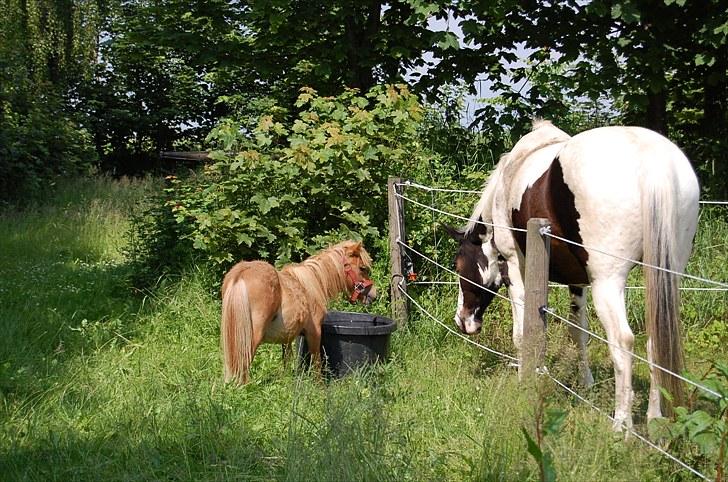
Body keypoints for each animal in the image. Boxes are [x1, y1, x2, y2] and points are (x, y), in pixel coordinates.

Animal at [219, 240, 376, 384]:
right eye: (362, 268)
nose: (374, 294)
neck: (312, 284)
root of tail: (241, 273)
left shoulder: (287, 338)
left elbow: (287, 359)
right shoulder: (314, 332)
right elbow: (316, 361)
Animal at [446, 120, 704, 430]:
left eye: (458, 266)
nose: (462, 320)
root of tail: (651, 159)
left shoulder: (515, 268)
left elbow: (524, 333)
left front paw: (525, 379)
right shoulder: (577, 281)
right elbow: (576, 332)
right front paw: (585, 383)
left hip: (609, 282)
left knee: (622, 342)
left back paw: (622, 425)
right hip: (666, 277)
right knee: (655, 342)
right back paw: (655, 419)